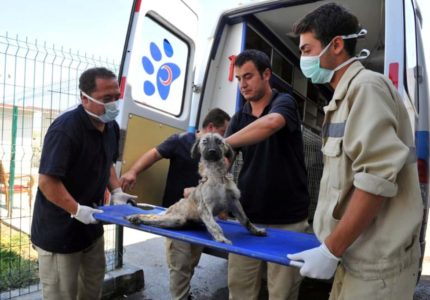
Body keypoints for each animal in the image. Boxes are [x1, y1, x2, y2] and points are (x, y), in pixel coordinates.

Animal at [124, 133, 266, 244]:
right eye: (205, 141)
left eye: (219, 142)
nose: (212, 151)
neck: (216, 175)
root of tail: (170, 209)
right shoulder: (205, 207)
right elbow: (214, 225)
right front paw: (221, 238)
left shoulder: (234, 202)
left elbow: (245, 220)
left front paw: (256, 230)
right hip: (176, 218)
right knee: (152, 218)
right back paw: (136, 217)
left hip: (176, 222)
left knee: (155, 221)